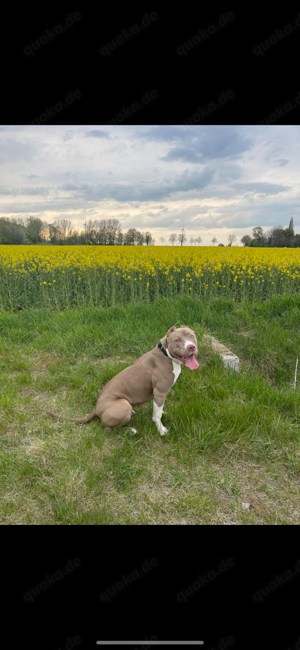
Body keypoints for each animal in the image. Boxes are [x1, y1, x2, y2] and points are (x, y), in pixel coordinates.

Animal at [48, 324, 199, 436]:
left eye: (191, 335)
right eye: (177, 340)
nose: (191, 347)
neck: (165, 353)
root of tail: (96, 409)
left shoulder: (158, 395)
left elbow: (157, 409)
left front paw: (161, 412)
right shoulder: (160, 392)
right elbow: (156, 416)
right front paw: (161, 430)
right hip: (123, 405)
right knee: (107, 428)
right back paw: (130, 430)